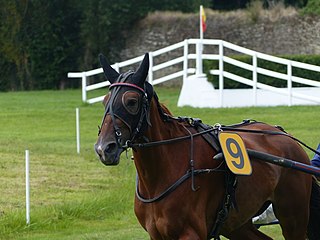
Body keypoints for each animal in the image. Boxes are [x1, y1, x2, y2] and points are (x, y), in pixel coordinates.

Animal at [94, 53, 318, 239]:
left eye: (131, 101)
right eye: (105, 101)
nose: (104, 148)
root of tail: (286, 136)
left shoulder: (191, 232)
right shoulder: (156, 234)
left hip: (293, 217)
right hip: (237, 223)